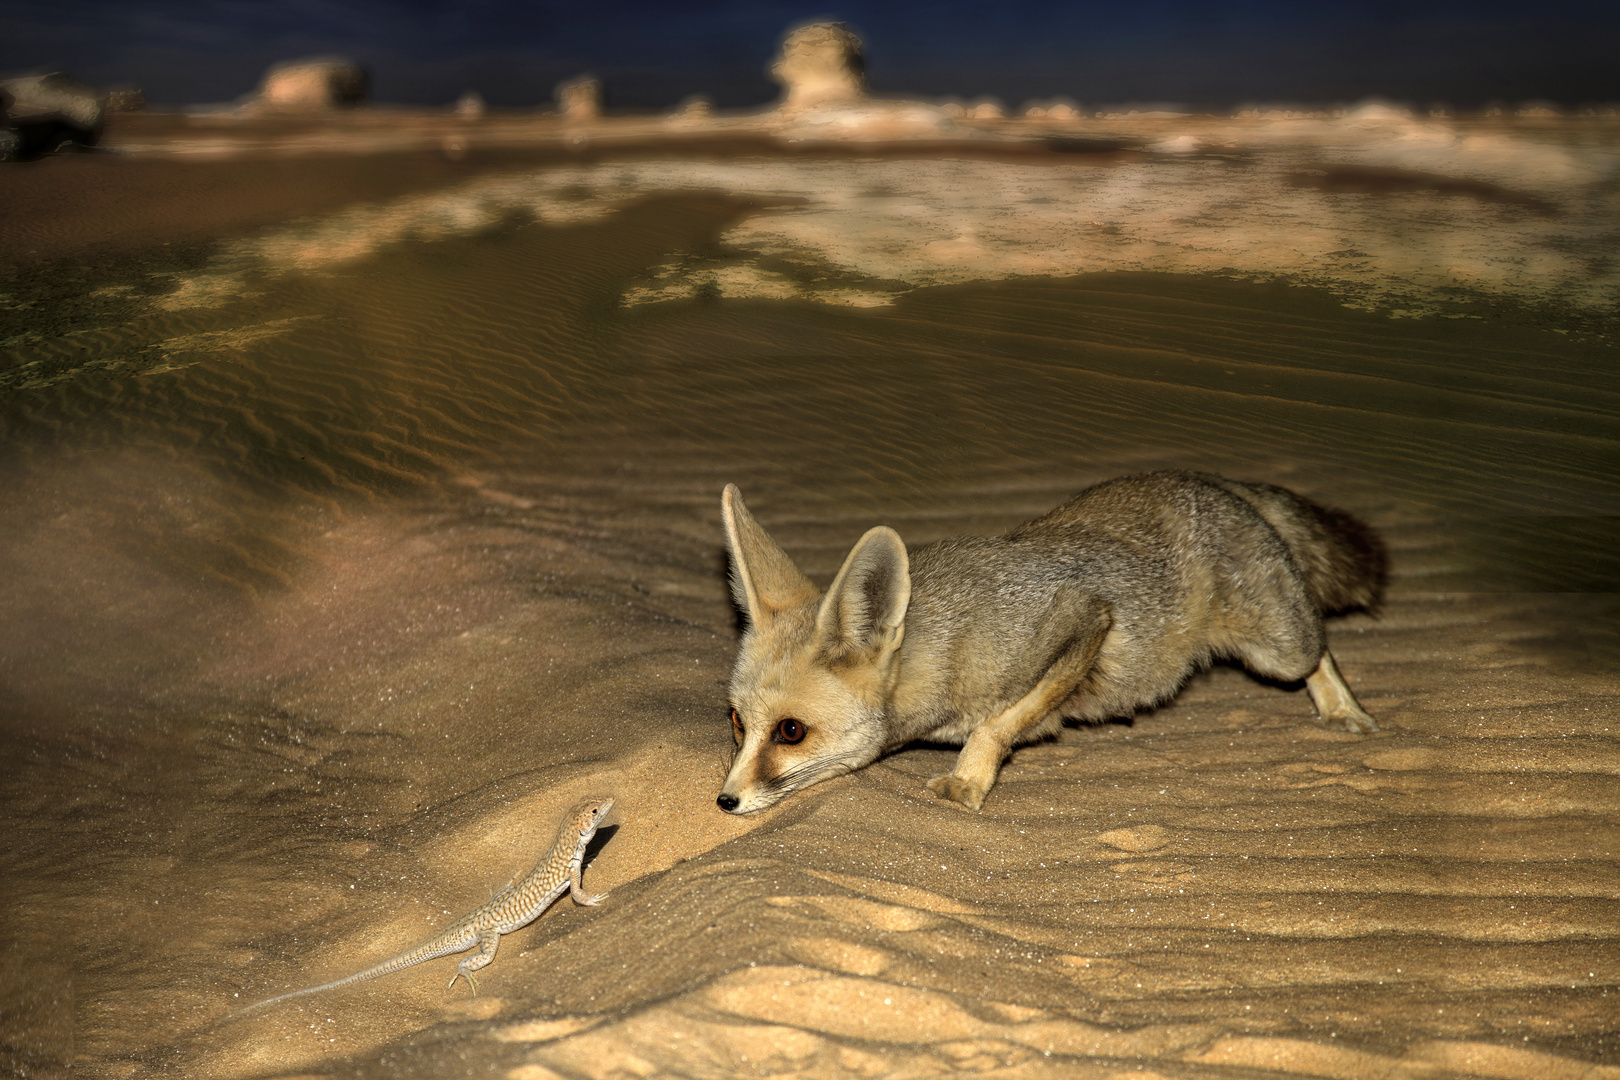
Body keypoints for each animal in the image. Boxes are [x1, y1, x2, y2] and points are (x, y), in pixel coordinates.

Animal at [716, 469, 1386, 816]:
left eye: (791, 731)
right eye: (737, 723)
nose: (724, 800)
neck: (953, 643)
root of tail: (1212, 479)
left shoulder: (1084, 620)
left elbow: (996, 725)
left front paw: (969, 780)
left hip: (1278, 651)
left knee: (1317, 649)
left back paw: (1343, 709)